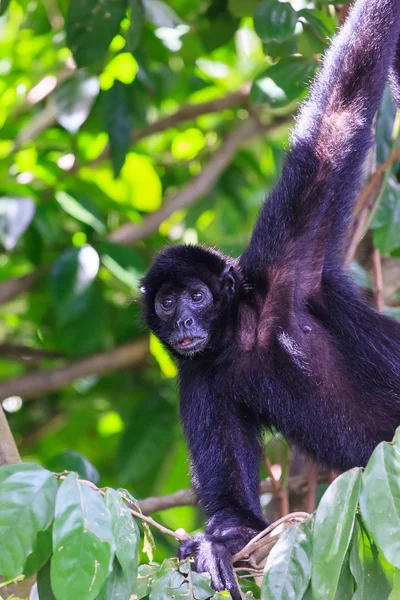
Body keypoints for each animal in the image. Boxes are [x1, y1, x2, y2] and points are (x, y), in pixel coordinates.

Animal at [141, 0, 400, 596]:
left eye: (196, 295)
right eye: (167, 303)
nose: (184, 321)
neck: (244, 334)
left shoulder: (287, 262)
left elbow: (339, 109)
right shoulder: (200, 379)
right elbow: (236, 510)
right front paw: (214, 544)